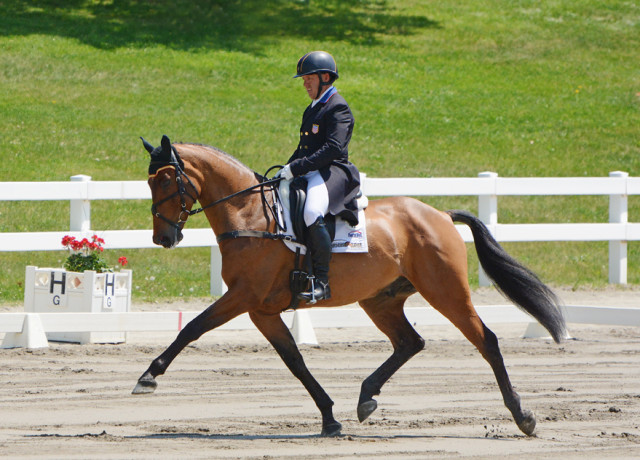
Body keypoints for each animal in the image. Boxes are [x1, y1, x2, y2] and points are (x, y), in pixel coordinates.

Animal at [131, 135, 564, 436]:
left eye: (167, 179)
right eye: (149, 181)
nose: (162, 238)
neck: (250, 215)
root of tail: (439, 213)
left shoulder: (243, 297)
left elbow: (192, 327)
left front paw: (148, 376)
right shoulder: (261, 310)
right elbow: (295, 361)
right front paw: (329, 417)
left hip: (446, 290)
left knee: (485, 340)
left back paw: (522, 416)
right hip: (381, 300)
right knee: (410, 342)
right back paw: (366, 397)